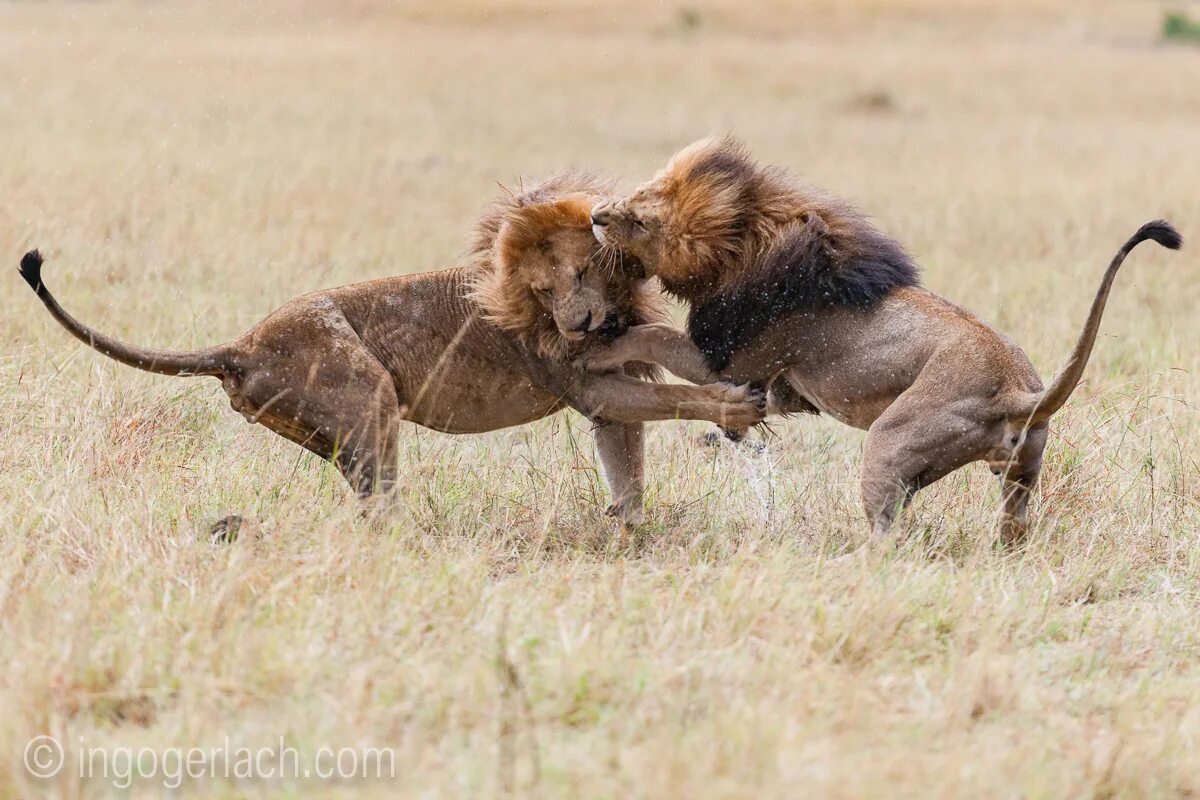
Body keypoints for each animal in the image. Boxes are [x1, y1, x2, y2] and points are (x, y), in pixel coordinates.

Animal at [18, 173, 763, 525]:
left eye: (580, 273)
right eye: (542, 290)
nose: (577, 324)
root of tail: (238, 346)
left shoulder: (610, 386)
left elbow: (629, 461)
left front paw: (627, 528)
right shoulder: (584, 380)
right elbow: (673, 394)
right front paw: (735, 405)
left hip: (338, 431)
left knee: (367, 500)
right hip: (366, 393)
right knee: (379, 509)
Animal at [585, 139, 1176, 544]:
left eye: (640, 218)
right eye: (639, 192)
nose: (594, 215)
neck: (748, 249)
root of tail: (1020, 393)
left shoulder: (734, 364)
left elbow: (656, 335)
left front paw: (602, 347)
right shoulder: (776, 388)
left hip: (889, 445)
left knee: (887, 536)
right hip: (1020, 476)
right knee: (1015, 526)